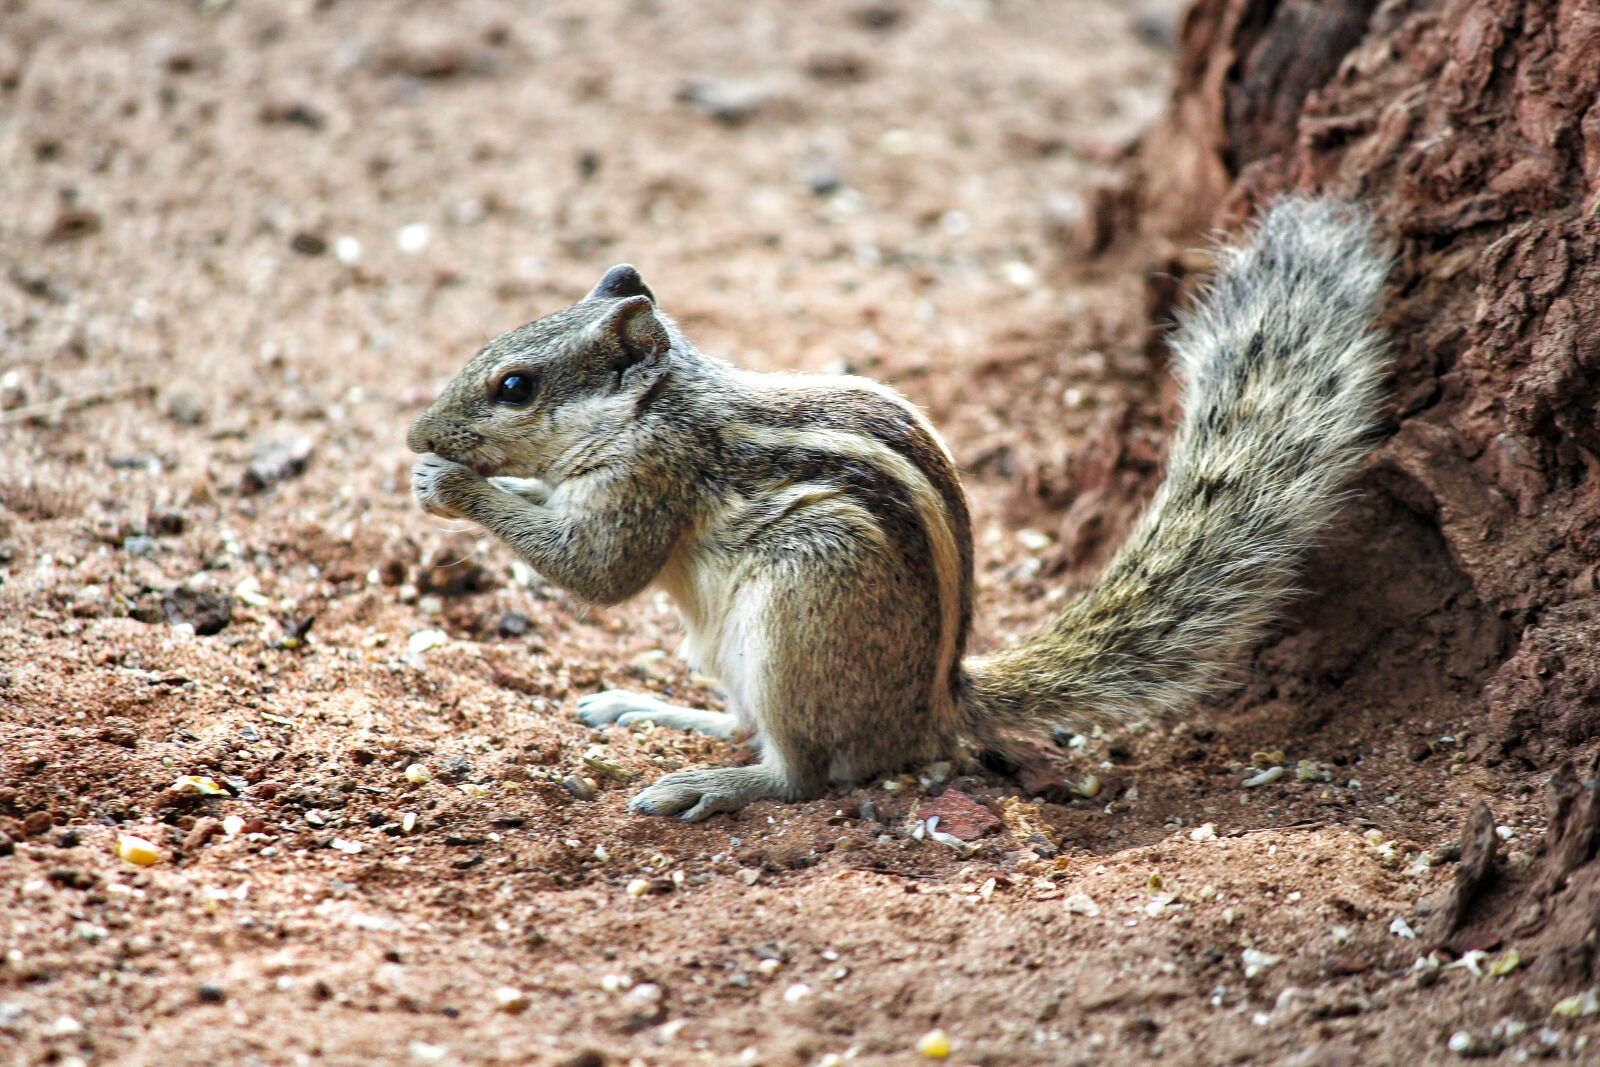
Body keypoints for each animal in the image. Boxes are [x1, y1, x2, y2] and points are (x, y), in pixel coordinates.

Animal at [408, 197, 1390, 823]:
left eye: (514, 386)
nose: (418, 429)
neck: (660, 404)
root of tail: (934, 704)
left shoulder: (651, 479)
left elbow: (598, 572)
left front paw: (455, 486)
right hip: (731, 647)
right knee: (748, 725)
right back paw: (651, 711)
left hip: (798, 612)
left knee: (806, 772)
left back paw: (713, 785)